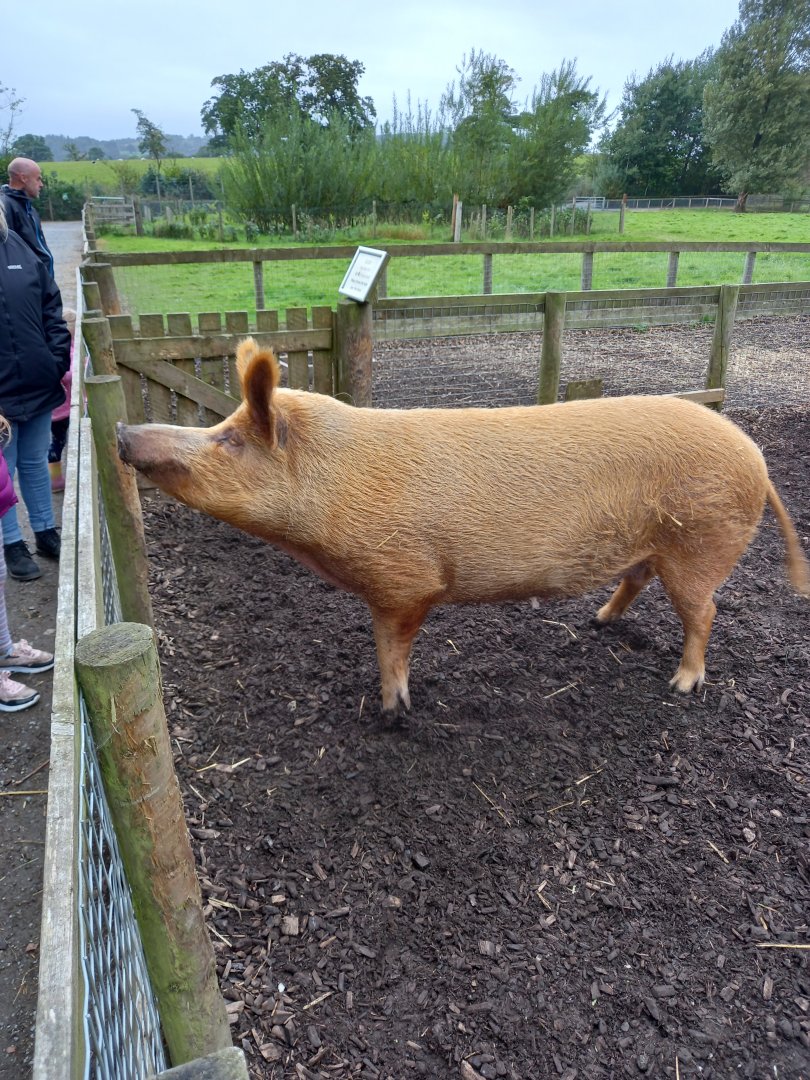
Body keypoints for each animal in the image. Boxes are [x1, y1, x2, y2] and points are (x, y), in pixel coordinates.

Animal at [117, 337, 809, 716]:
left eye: (229, 440)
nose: (123, 432)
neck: (336, 484)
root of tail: (757, 459)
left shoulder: (404, 580)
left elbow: (392, 646)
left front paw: (392, 711)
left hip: (701, 543)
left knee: (706, 611)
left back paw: (682, 684)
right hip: (655, 544)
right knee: (638, 582)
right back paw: (598, 622)